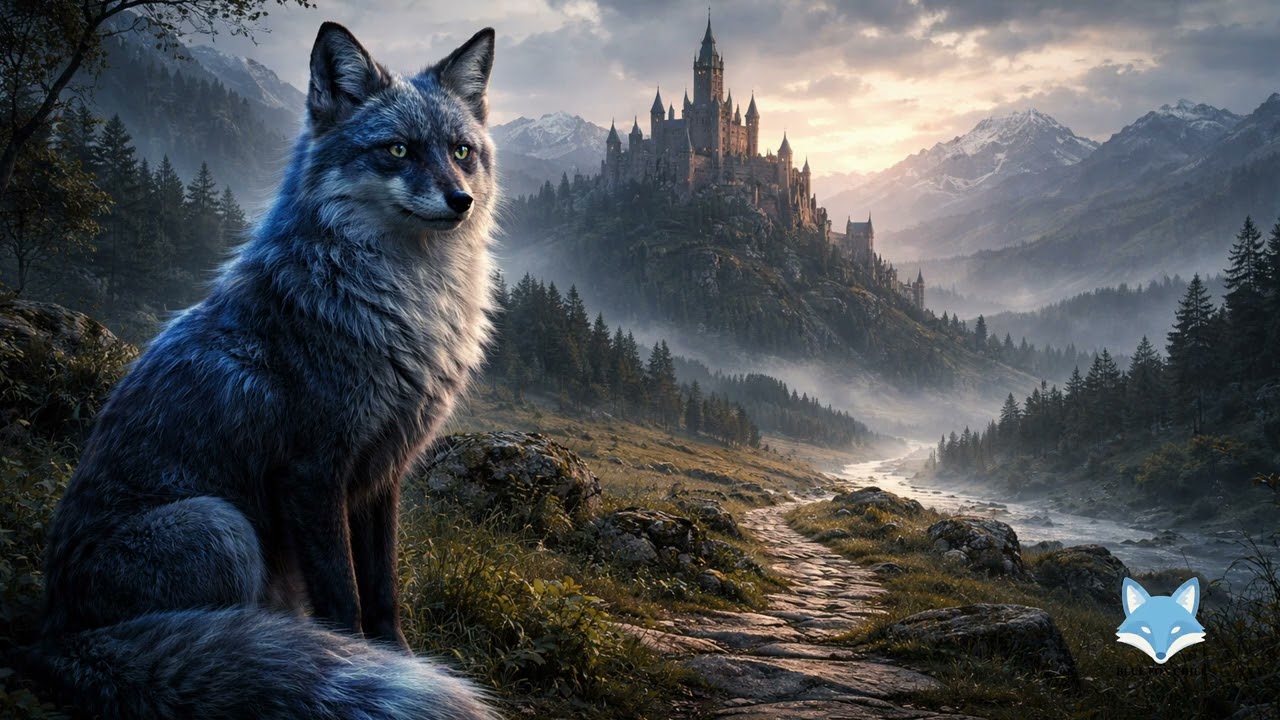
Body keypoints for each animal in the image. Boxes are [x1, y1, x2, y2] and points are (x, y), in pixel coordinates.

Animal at [26, 21, 502, 720]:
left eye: (462, 151)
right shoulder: (313, 473)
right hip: (223, 529)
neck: (401, 310)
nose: (460, 200)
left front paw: (395, 659)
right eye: (396, 150)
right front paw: (358, 663)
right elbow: (345, 600)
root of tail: (54, 634)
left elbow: (383, 594)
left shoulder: (383, 470)